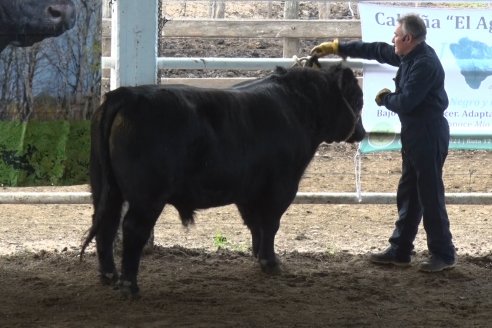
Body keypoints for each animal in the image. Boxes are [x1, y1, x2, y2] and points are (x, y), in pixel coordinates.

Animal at [80, 64, 366, 298]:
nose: (362, 132)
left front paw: (257, 254)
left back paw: (109, 275)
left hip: (106, 188)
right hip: (147, 197)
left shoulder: (248, 190)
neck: (295, 107)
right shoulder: (281, 187)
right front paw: (270, 262)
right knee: (132, 229)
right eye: (358, 99)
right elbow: (270, 223)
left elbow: (255, 224)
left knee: (105, 224)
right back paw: (129, 285)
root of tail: (128, 95)